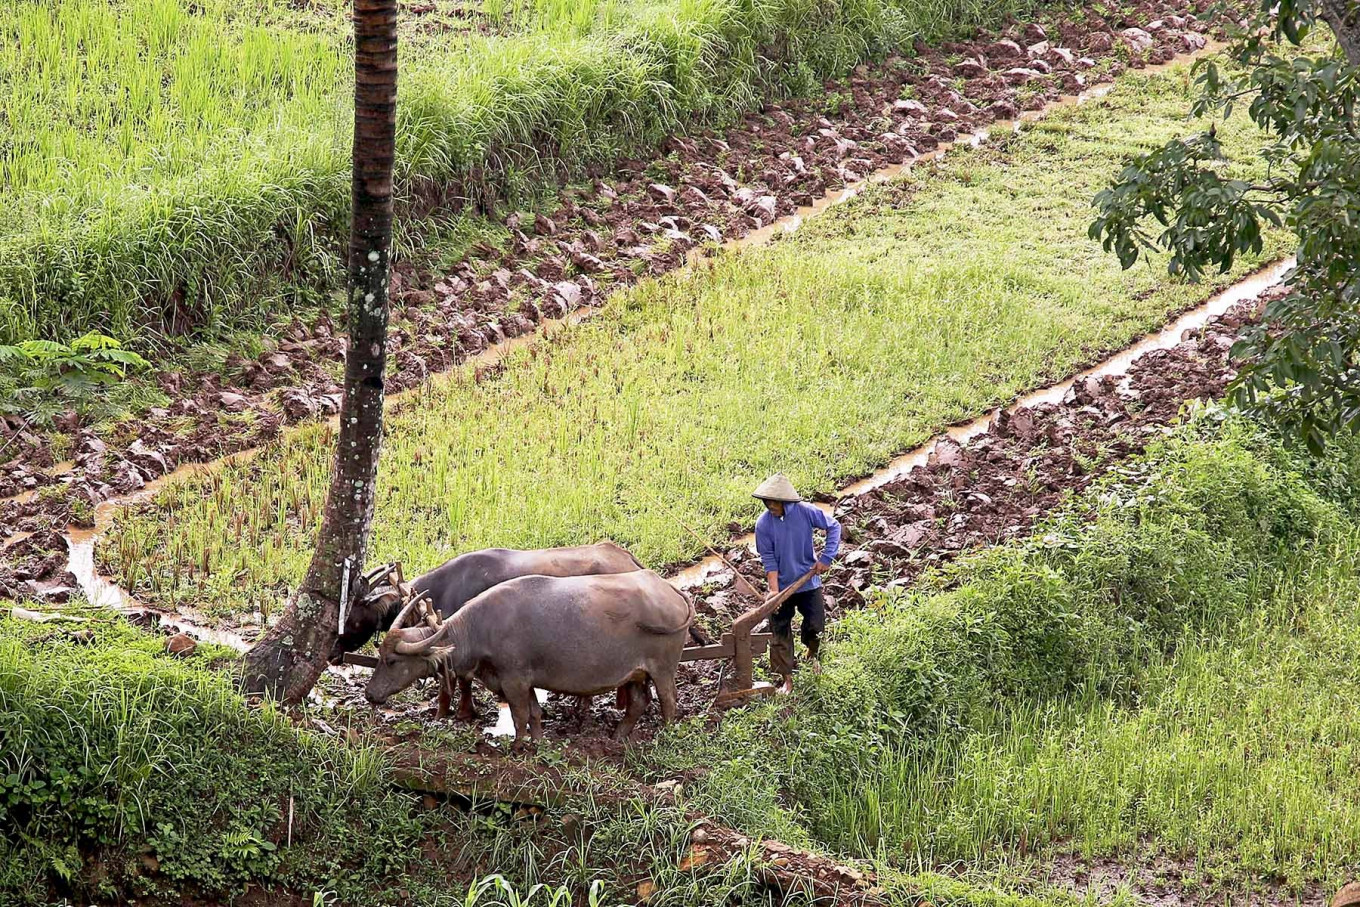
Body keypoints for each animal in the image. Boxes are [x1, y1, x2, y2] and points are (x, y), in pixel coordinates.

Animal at [331, 543, 650, 717]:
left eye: (353, 617)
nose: (333, 653)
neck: (445, 587)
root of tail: (628, 558)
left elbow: (458, 680)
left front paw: (454, 712)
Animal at [364, 571, 690, 739]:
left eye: (392, 661)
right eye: (379, 655)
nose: (370, 694)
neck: (478, 629)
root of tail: (669, 589)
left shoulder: (514, 680)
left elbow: (520, 715)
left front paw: (519, 746)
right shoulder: (525, 683)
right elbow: (534, 713)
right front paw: (537, 741)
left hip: (663, 669)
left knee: (669, 700)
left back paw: (667, 732)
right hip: (635, 673)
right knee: (638, 702)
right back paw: (618, 736)